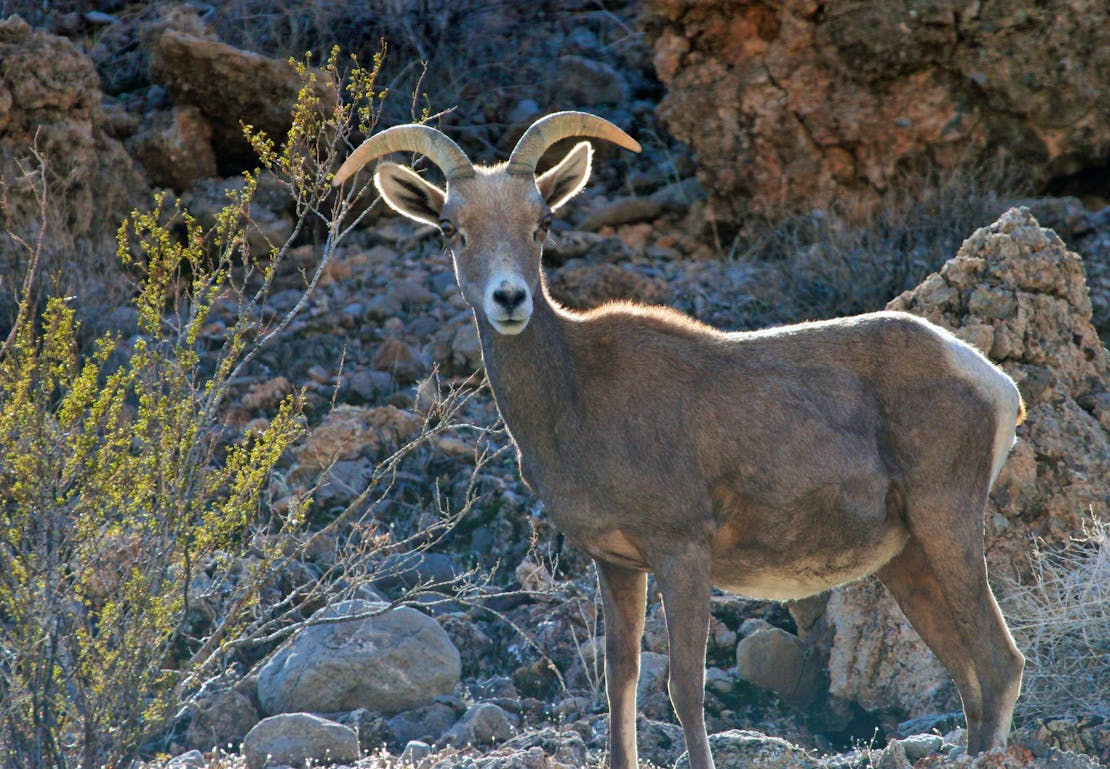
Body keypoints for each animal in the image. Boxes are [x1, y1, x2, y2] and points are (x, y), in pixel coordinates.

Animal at [332, 111, 1026, 769]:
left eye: (542, 223)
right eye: (450, 228)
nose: (510, 298)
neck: (576, 396)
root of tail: (989, 381)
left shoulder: (683, 554)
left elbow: (684, 689)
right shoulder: (615, 563)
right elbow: (621, 680)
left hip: (946, 527)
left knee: (1000, 664)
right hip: (907, 560)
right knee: (968, 677)